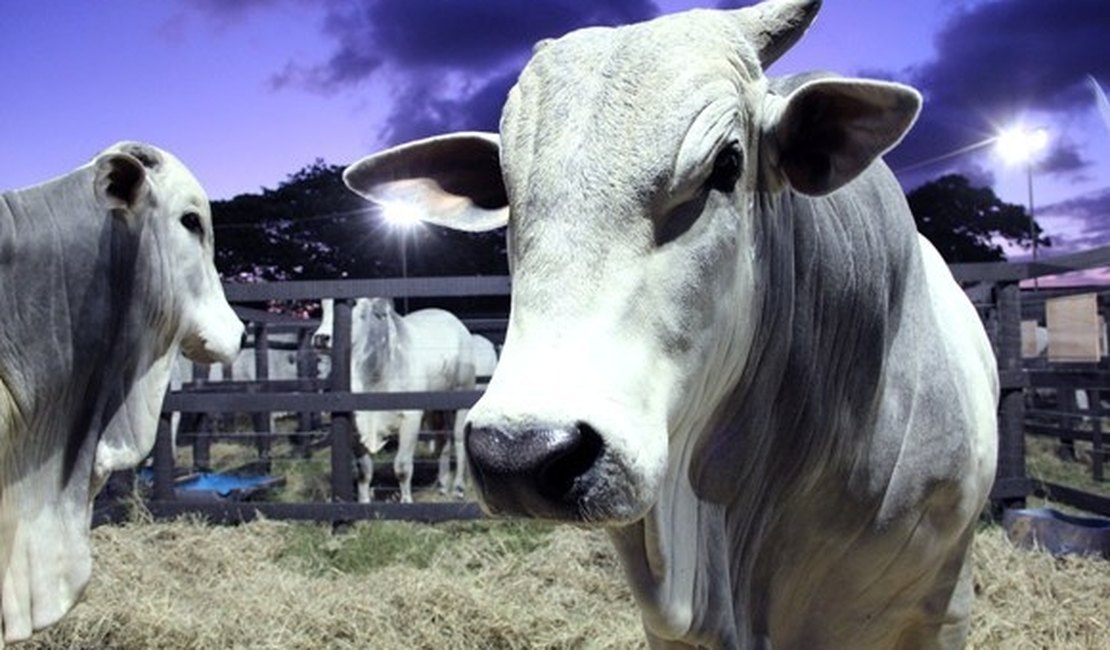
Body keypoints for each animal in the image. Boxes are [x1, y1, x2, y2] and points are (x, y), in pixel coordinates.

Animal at [310, 297, 475, 501]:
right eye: (322, 304)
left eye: (353, 303)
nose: (321, 338)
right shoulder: (356, 424)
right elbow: (364, 470)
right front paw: (364, 501)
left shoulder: (411, 418)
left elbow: (402, 467)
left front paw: (406, 500)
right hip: (435, 407)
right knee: (442, 439)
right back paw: (443, 484)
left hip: (463, 393)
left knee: (459, 438)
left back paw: (459, 486)